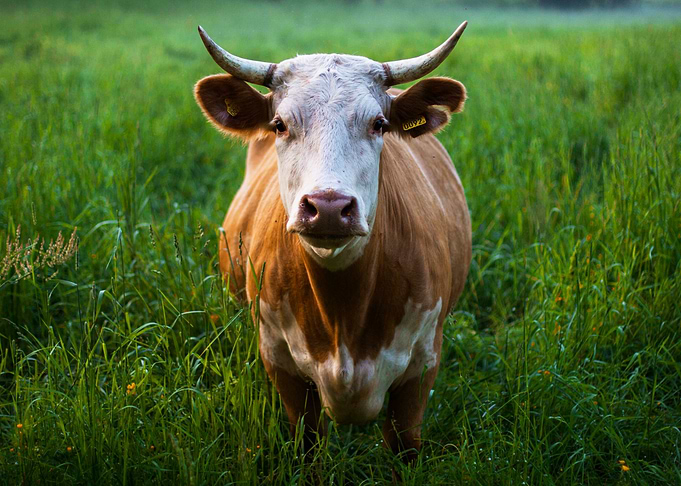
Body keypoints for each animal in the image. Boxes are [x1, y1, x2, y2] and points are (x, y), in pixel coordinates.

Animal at [194, 22, 472, 464]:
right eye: (279, 124)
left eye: (379, 124)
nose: (327, 207)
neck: (344, 312)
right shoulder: (281, 365)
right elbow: (308, 445)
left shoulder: (422, 367)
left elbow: (404, 447)